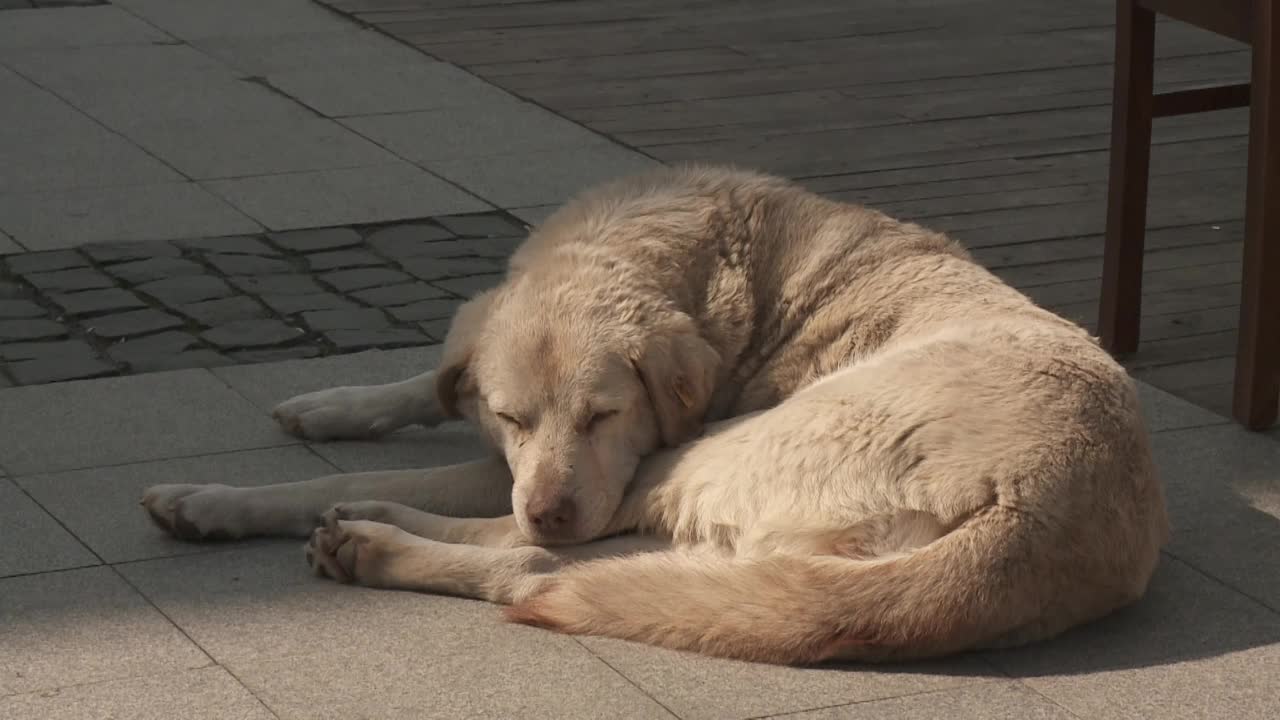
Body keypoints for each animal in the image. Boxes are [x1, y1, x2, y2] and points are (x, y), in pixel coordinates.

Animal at [140, 162, 1172, 661]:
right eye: (515, 416)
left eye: (603, 416)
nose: (552, 504)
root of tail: (1028, 517)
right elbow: (421, 388)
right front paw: (322, 410)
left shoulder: (606, 464)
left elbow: (427, 477)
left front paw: (234, 499)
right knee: (555, 558)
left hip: (716, 453)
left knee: (531, 563)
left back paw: (368, 536)